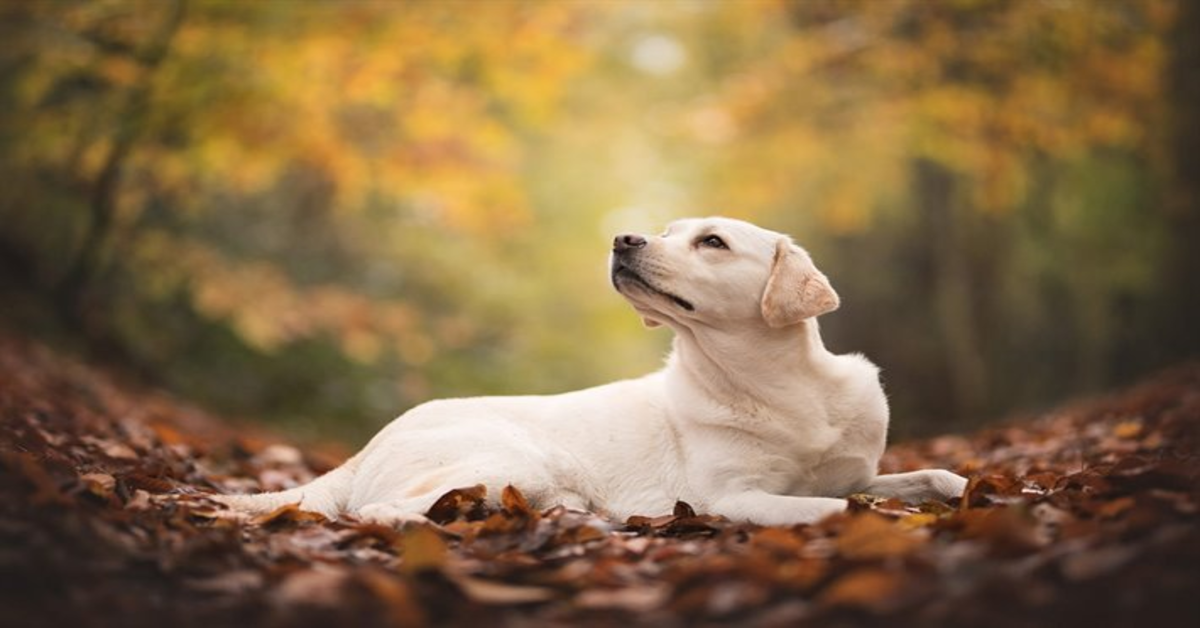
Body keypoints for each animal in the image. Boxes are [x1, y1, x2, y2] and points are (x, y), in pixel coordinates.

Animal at [216, 216, 964, 525]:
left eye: (712, 240)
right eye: (669, 229)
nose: (624, 237)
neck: (778, 388)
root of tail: (368, 444)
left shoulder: (855, 470)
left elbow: (924, 475)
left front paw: (960, 489)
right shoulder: (733, 498)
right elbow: (839, 506)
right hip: (513, 457)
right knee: (379, 511)